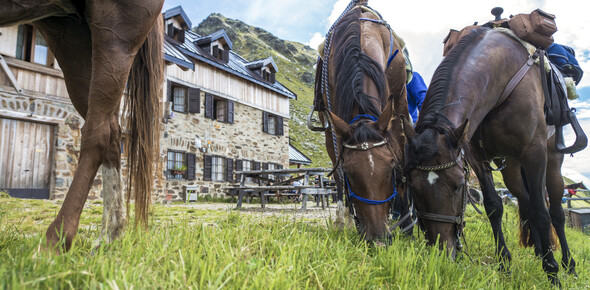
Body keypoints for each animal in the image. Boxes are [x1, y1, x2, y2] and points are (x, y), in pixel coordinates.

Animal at [0, 0, 164, 251]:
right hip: (69, 36)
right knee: (112, 131)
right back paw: (109, 235)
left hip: (115, 33)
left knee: (100, 132)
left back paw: (57, 238)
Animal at [314, 0, 412, 245]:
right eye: (350, 172)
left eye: (391, 168)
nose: (378, 240)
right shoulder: (332, 122)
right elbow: (336, 167)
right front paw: (343, 221)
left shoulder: (398, 108)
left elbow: (402, 152)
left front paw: (407, 225)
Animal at [404, 27, 576, 286]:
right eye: (412, 187)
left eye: (458, 186)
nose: (441, 254)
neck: (501, 75)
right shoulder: (477, 157)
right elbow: (494, 206)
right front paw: (504, 263)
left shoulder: (535, 154)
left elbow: (541, 212)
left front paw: (552, 272)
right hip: (511, 167)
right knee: (524, 200)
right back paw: (539, 250)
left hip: (552, 160)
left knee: (555, 211)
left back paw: (567, 264)